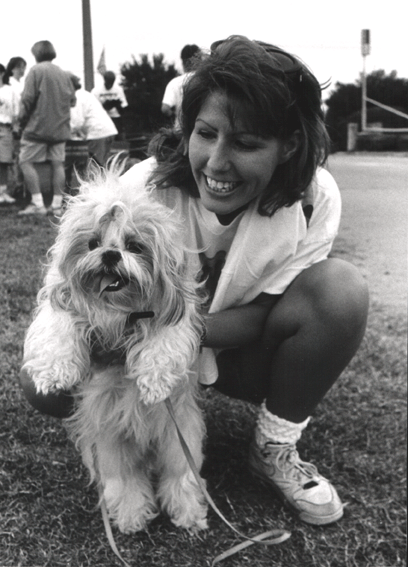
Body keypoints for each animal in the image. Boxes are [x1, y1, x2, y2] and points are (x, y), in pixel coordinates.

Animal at [21, 163, 207, 532]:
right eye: (92, 243)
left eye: (135, 246)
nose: (109, 254)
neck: (120, 309)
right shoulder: (64, 304)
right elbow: (57, 327)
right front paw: (52, 373)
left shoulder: (172, 317)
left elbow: (164, 342)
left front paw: (154, 382)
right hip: (112, 438)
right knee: (125, 477)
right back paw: (132, 514)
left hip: (178, 438)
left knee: (180, 475)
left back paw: (187, 512)